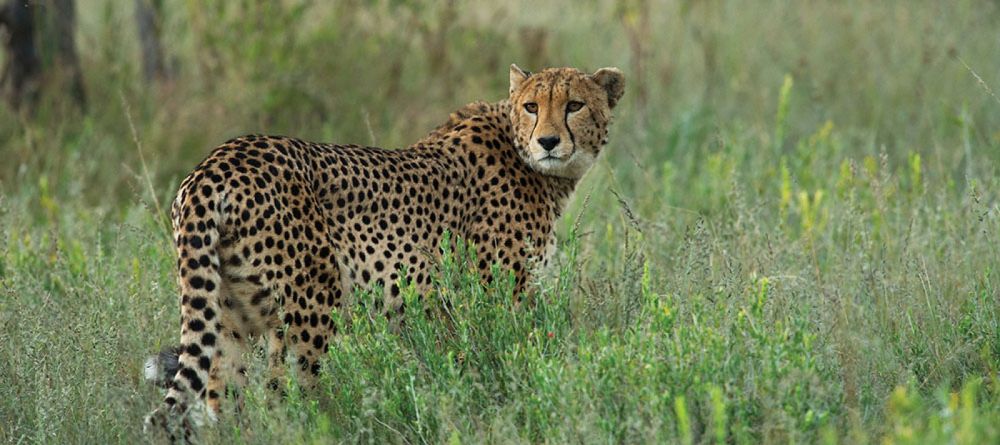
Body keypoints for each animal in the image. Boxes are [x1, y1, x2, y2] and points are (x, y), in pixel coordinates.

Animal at [143, 64, 625, 441]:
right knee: (286, 395)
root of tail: (218, 159)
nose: (548, 142)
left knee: (222, 402)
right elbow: (508, 361)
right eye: (531, 107)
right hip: (310, 307)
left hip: (228, 317)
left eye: (574, 105)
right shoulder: (499, 296)